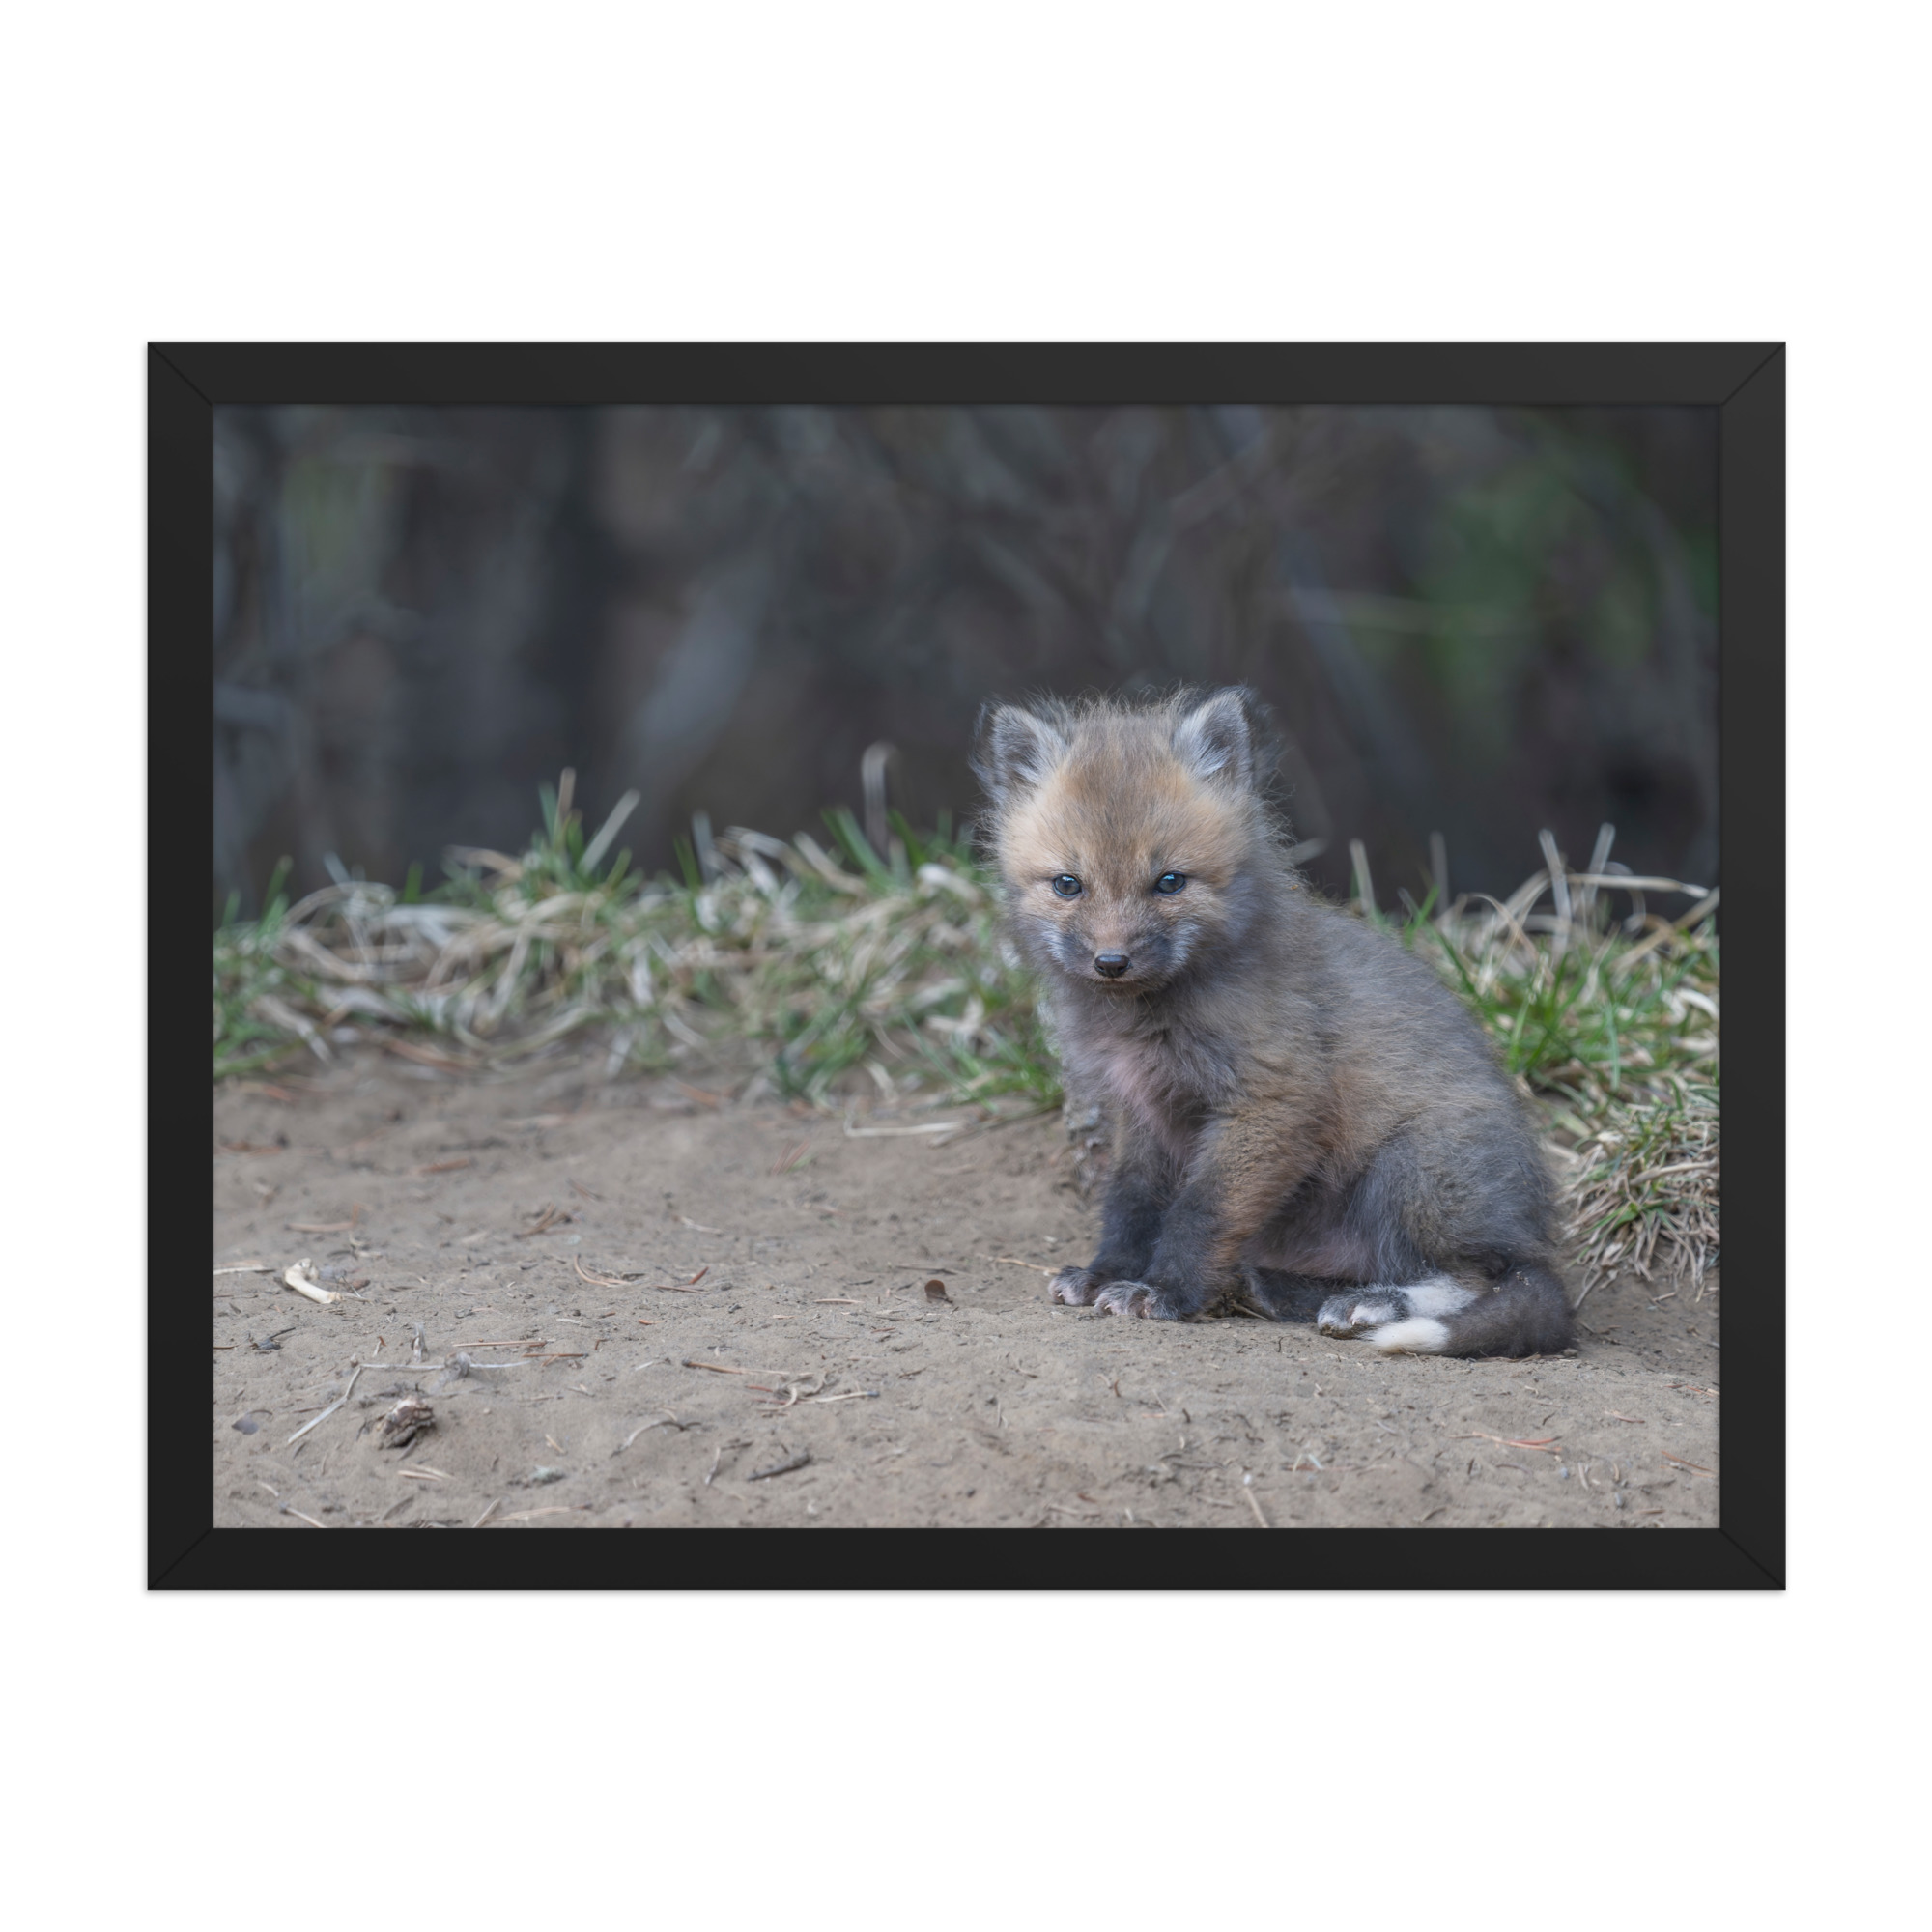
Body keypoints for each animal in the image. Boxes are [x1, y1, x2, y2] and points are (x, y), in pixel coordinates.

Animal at [972, 686, 1573, 1358]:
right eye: (1068, 885)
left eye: (1169, 882)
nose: (1111, 962)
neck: (1147, 1020)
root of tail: (1532, 1233)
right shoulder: (1144, 1112)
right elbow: (1131, 1204)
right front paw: (1108, 1273)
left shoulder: (1272, 1100)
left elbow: (1200, 1212)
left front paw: (1165, 1292)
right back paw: (1279, 1289)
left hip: (1411, 1169)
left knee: (1481, 1278)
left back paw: (1372, 1305)